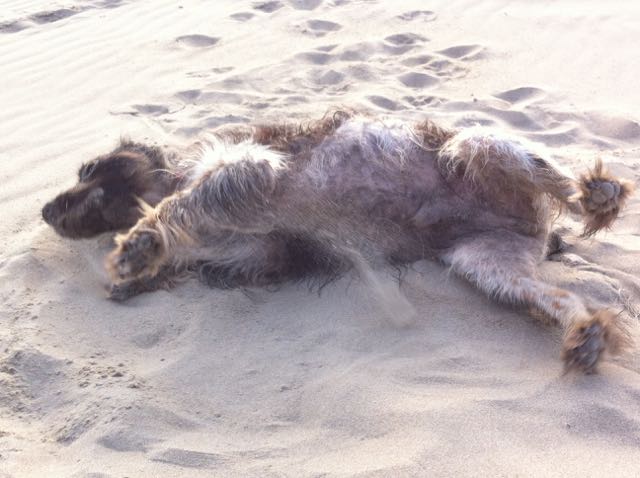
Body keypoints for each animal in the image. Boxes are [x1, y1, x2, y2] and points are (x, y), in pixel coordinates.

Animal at [42, 111, 634, 373]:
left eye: (92, 177)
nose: (46, 210)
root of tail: (532, 225)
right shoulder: (261, 252)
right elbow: (197, 246)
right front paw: (146, 268)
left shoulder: (249, 171)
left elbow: (177, 209)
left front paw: (140, 244)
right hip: (487, 264)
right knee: (560, 297)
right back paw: (586, 335)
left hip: (478, 147)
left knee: (564, 185)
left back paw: (598, 194)